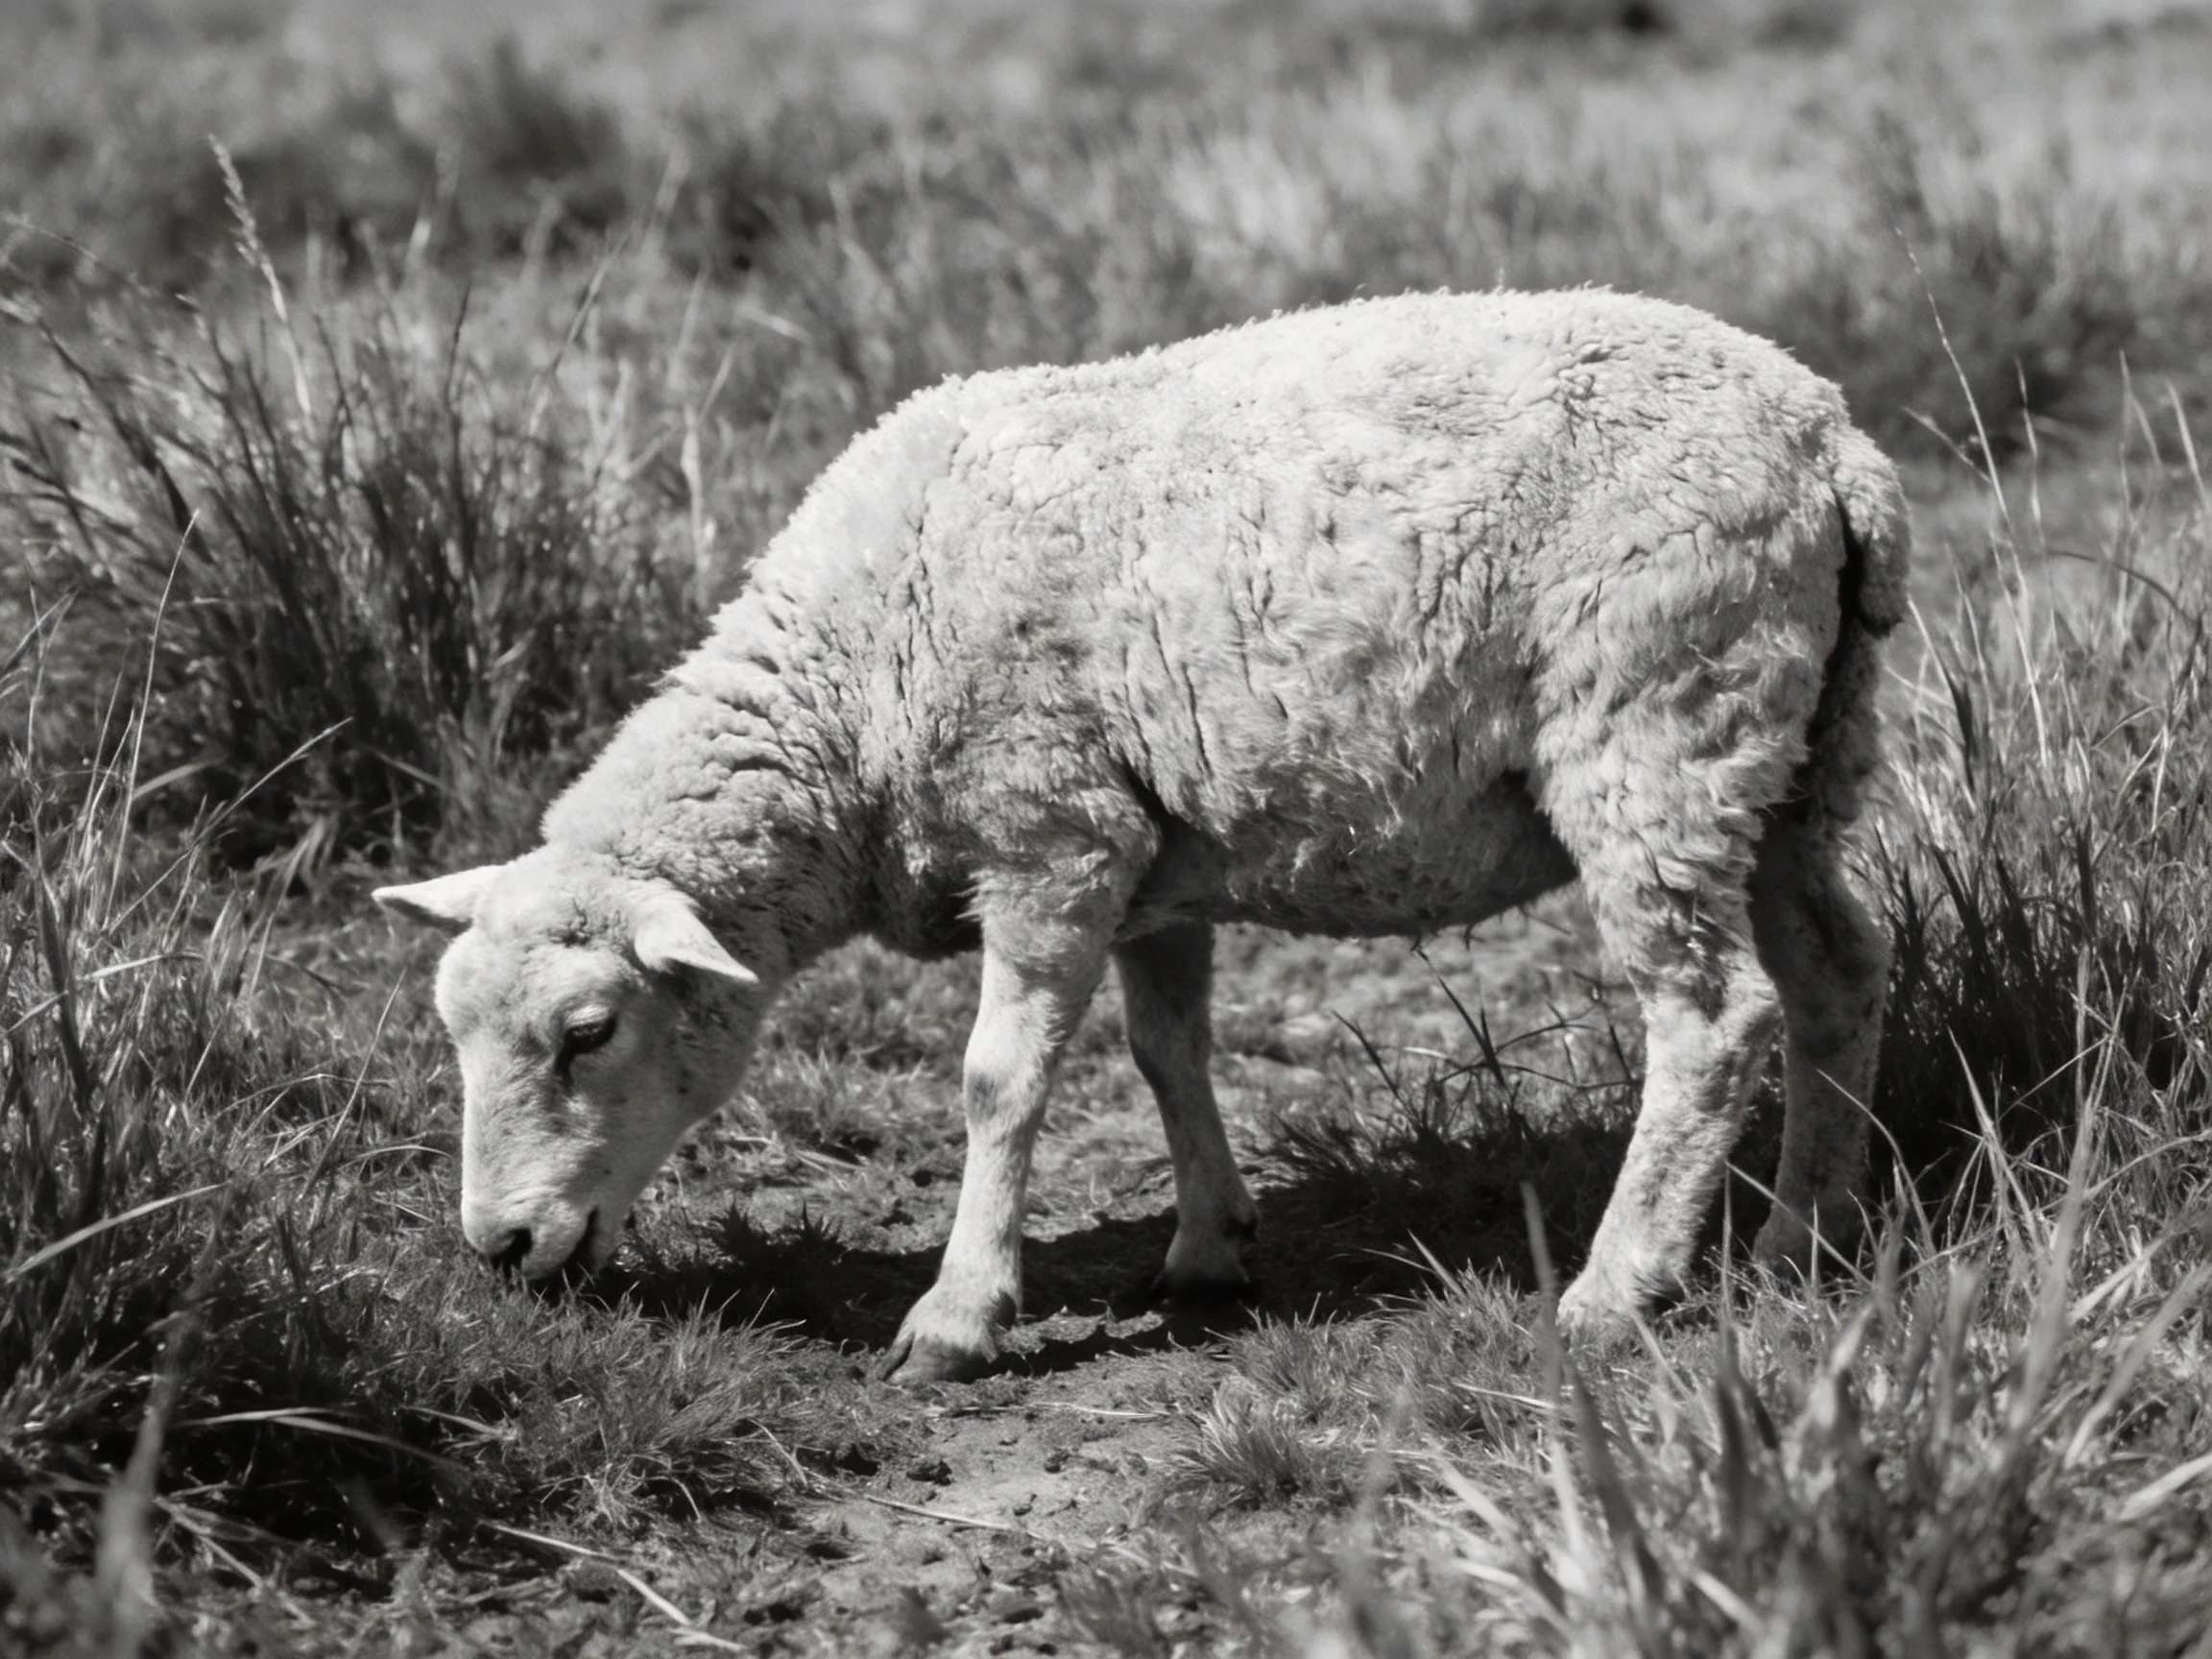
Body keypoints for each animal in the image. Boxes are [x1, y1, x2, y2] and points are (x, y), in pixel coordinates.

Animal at [376, 288, 1908, 1384]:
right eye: (450, 1028)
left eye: (588, 1032)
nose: (501, 1247)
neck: (849, 689)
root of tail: (1835, 442)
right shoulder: (1156, 858)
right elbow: (1169, 1051)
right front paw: (1208, 1248)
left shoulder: (1052, 829)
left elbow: (999, 1080)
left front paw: (957, 1316)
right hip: (1795, 751)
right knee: (1836, 975)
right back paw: (1800, 1240)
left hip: (1654, 724)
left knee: (1713, 1017)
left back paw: (1616, 1288)